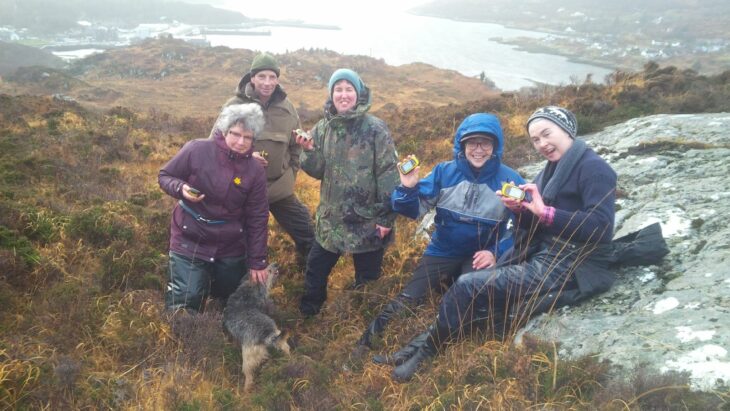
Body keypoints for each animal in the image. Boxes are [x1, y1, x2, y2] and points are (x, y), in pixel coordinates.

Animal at [223, 264, 288, 392]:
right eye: (268, 269)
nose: (276, 264)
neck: (247, 292)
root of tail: (267, 334)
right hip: (277, 333)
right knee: (284, 346)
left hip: (248, 356)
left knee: (248, 372)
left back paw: (247, 387)